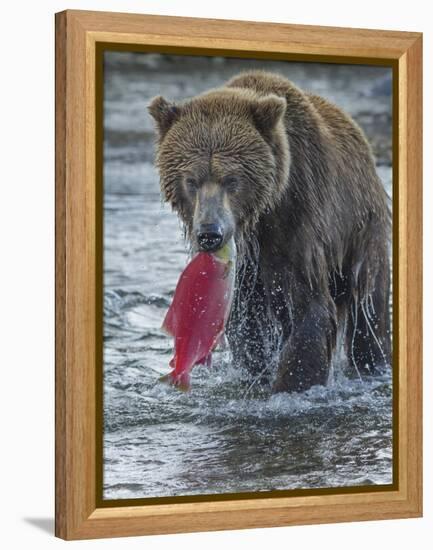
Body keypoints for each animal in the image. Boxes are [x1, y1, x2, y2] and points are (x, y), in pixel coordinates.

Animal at [148, 71, 392, 394]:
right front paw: (256, 372)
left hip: (361, 230)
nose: (210, 233)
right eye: (191, 180)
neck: (260, 217)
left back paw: (372, 363)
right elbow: (245, 320)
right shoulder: (246, 262)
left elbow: (309, 307)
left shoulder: (298, 220)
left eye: (232, 179)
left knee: (368, 311)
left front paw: (291, 385)